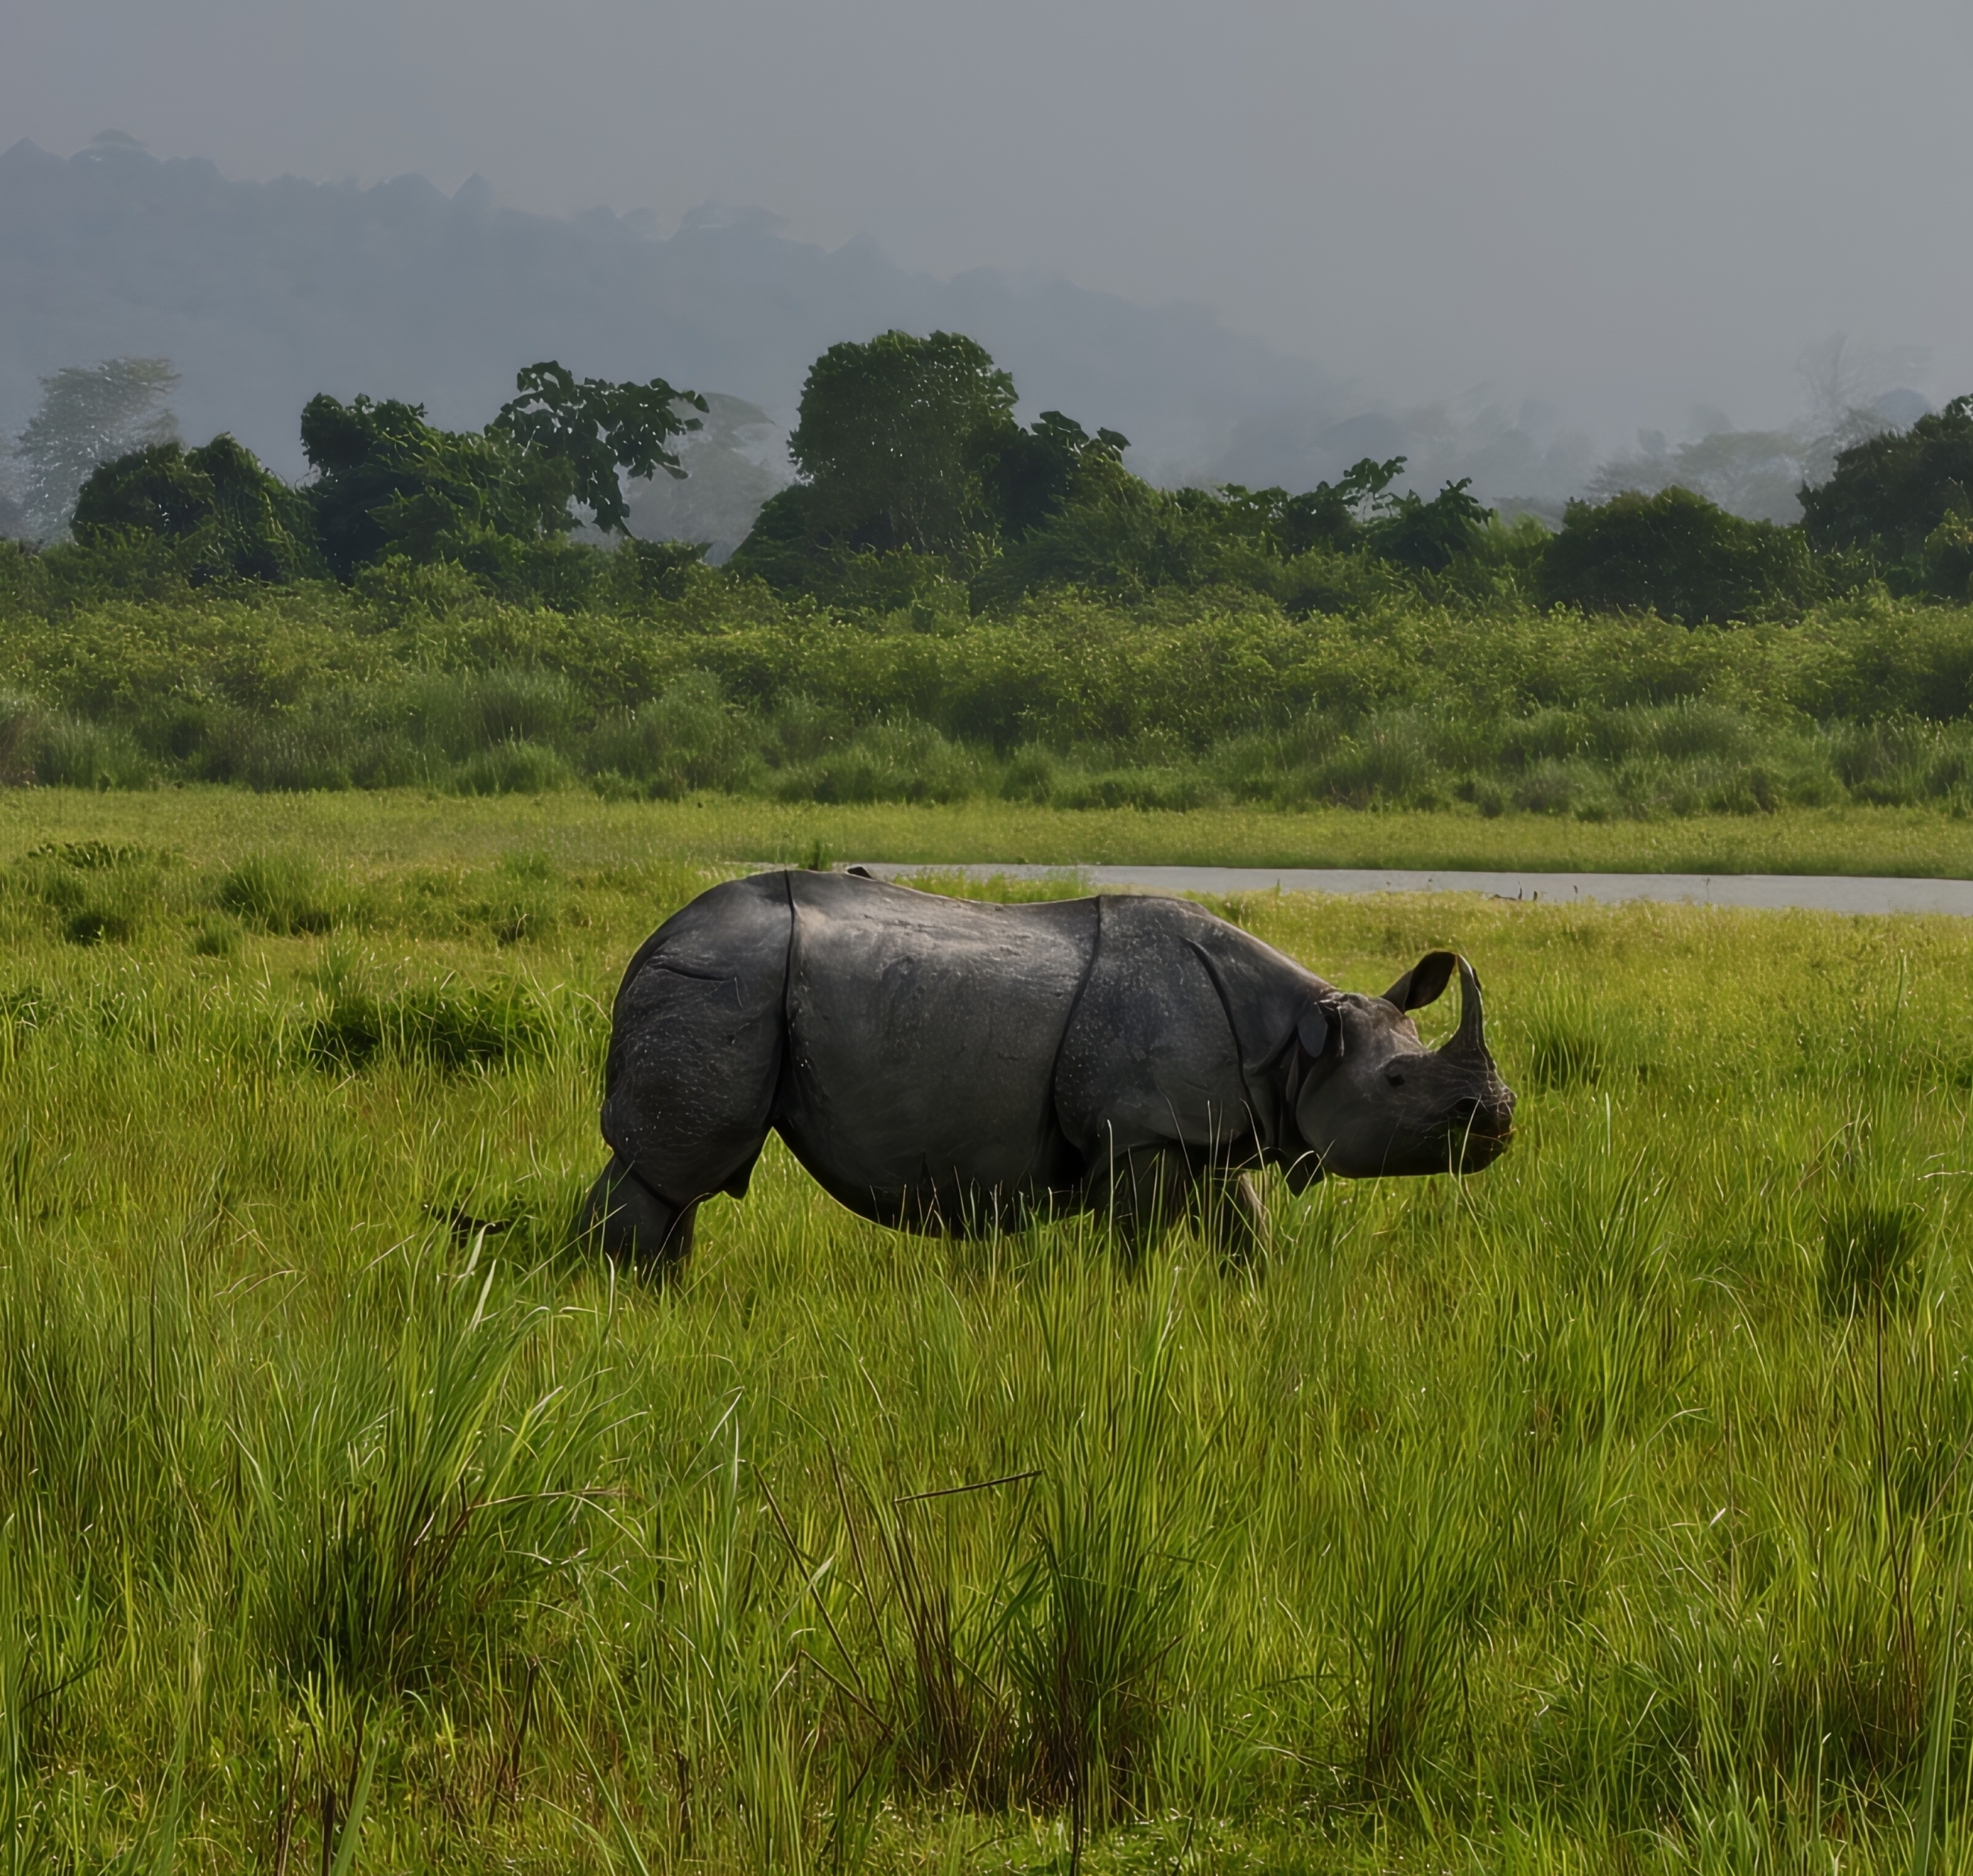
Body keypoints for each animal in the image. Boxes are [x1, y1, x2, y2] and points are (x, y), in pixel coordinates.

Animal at [583, 869, 1514, 1266]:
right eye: (1396, 1083)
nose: (1499, 1120)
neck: (1293, 1041)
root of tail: (649, 945)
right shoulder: (1140, 1132)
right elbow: (1138, 1242)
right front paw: (1136, 1310)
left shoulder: (1206, 1127)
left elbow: (1243, 1229)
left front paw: (1252, 1300)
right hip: (720, 982)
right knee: (666, 1172)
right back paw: (621, 1296)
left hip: (721, 983)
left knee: (676, 1181)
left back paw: (664, 1295)